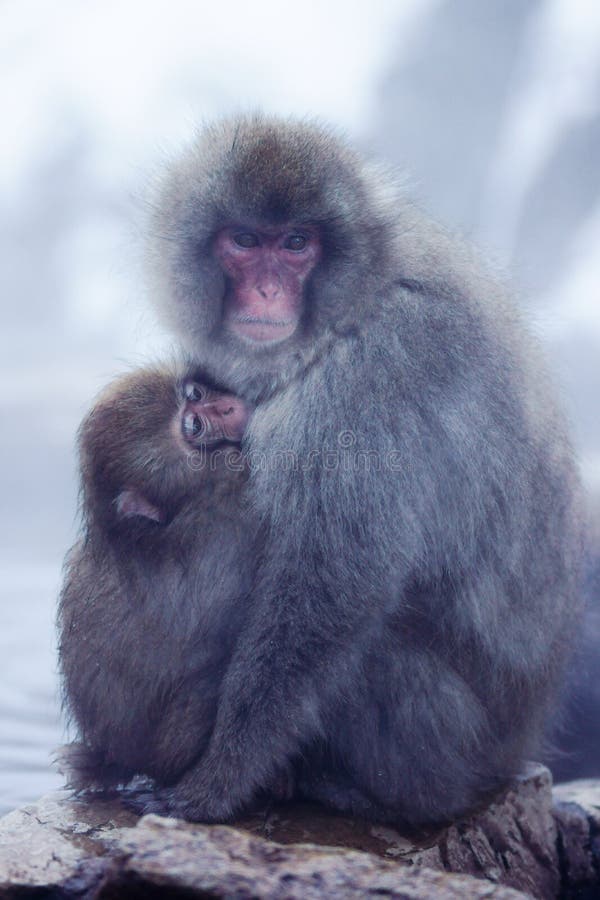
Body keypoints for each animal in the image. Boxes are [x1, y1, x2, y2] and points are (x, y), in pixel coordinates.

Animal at [58, 366, 254, 790]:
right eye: (194, 426)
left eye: (194, 394)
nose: (229, 407)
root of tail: (117, 757)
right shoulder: (227, 513)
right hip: (171, 746)